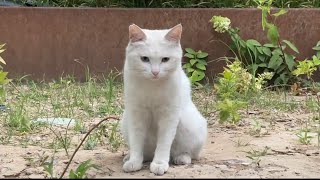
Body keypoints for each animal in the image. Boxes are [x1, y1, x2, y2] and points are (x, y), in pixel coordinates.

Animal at [120, 23, 208, 175]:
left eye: (165, 59)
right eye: (144, 59)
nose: (155, 72)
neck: (152, 86)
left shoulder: (169, 116)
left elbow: (164, 143)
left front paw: (159, 164)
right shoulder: (136, 114)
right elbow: (136, 141)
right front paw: (134, 162)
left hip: (189, 122)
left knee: (189, 153)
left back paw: (181, 158)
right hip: (125, 120)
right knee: (147, 152)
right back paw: (132, 157)